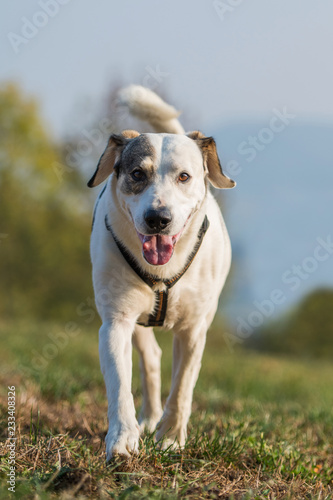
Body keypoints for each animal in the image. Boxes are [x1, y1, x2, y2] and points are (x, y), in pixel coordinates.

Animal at [87, 86, 235, 460]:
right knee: (150, 359)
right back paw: (148, 418)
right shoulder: (116, 321)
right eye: (137, 174)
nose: (158, 218)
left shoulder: (194, 330)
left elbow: (182, 387)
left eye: (184, 176)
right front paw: (123, 440)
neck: (163, 269)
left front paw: (170, 439)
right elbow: (119, 384)